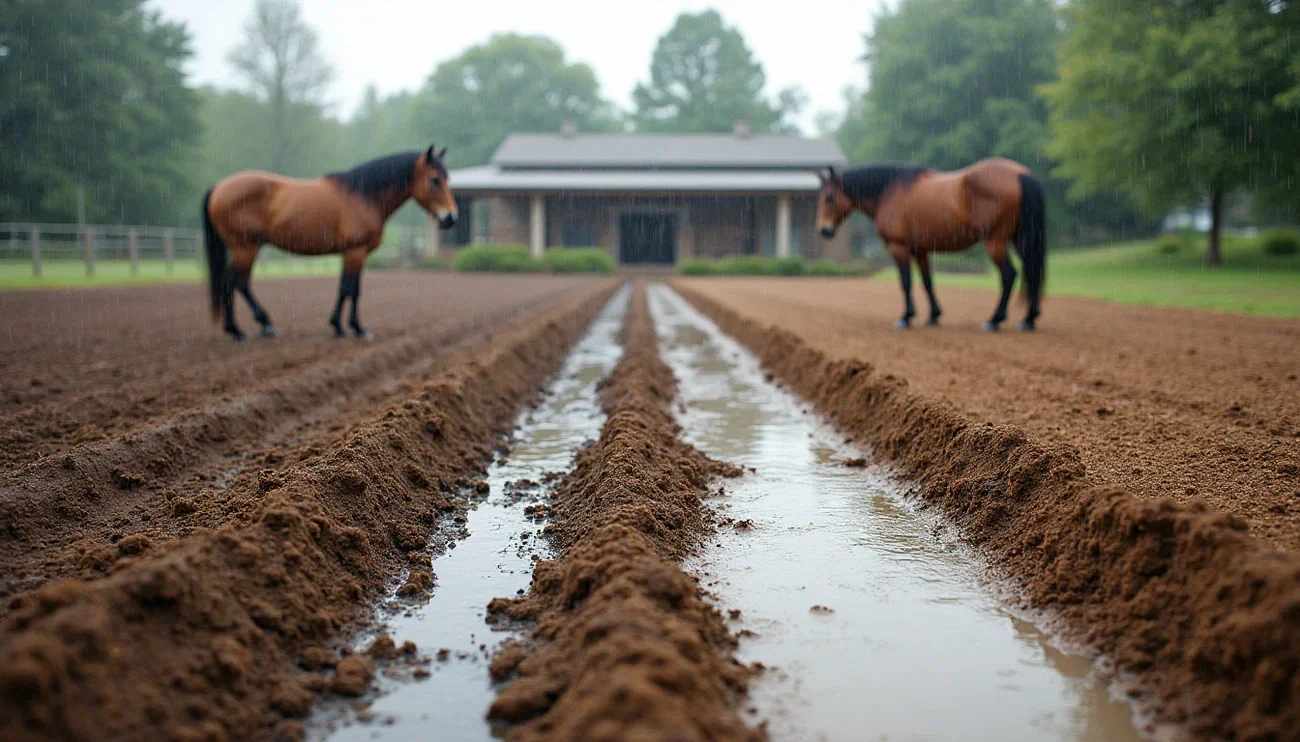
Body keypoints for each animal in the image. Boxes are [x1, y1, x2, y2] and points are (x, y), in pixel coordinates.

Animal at [201, 146, 458, 341]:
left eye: (447, 178)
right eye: (435, 180)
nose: (451, 218)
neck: (364, 196)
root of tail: (218, 188)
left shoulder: (353, 254)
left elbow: (348, 288)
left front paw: (339, 326)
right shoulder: (355, 252)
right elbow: (350, 289)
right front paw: (355, 328)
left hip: (244, 249)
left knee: (235, 283)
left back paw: (245, 328)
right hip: (245, 248)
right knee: (235, 283)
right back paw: (248, 328)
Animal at [815, 158, 1046, 331]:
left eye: (829, 197)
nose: (824, 230)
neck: (889, 192)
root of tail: (1019, 174)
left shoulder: (898, 247)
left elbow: (906, 282)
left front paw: (906, 317)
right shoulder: (921, 250)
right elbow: (927, 282)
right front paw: (934, 316)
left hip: (995, 242)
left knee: (1009, 274)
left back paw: (994, 320)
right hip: (1021, 239)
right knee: (1032, 271)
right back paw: (1028, 320)